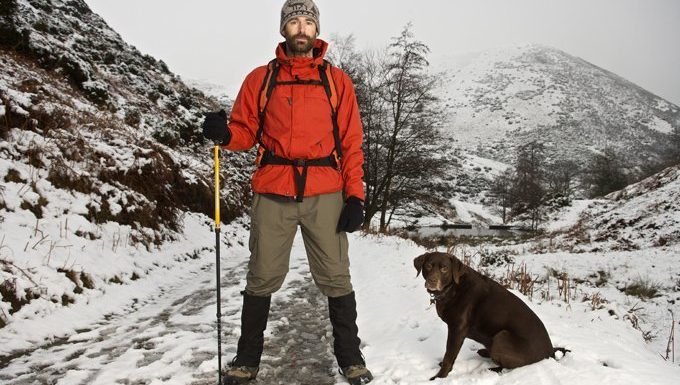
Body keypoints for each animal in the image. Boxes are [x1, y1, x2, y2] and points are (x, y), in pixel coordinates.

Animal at [414, 250, 564, 380]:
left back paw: (491, 369)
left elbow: (448, 356)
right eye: (428, 266)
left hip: (502, 336)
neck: (452, 288)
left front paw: (439, 377)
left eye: (444, 268)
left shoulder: (457, 329)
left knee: (509, 366)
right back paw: (486, 352)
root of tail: (550, 352)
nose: (432, 281)